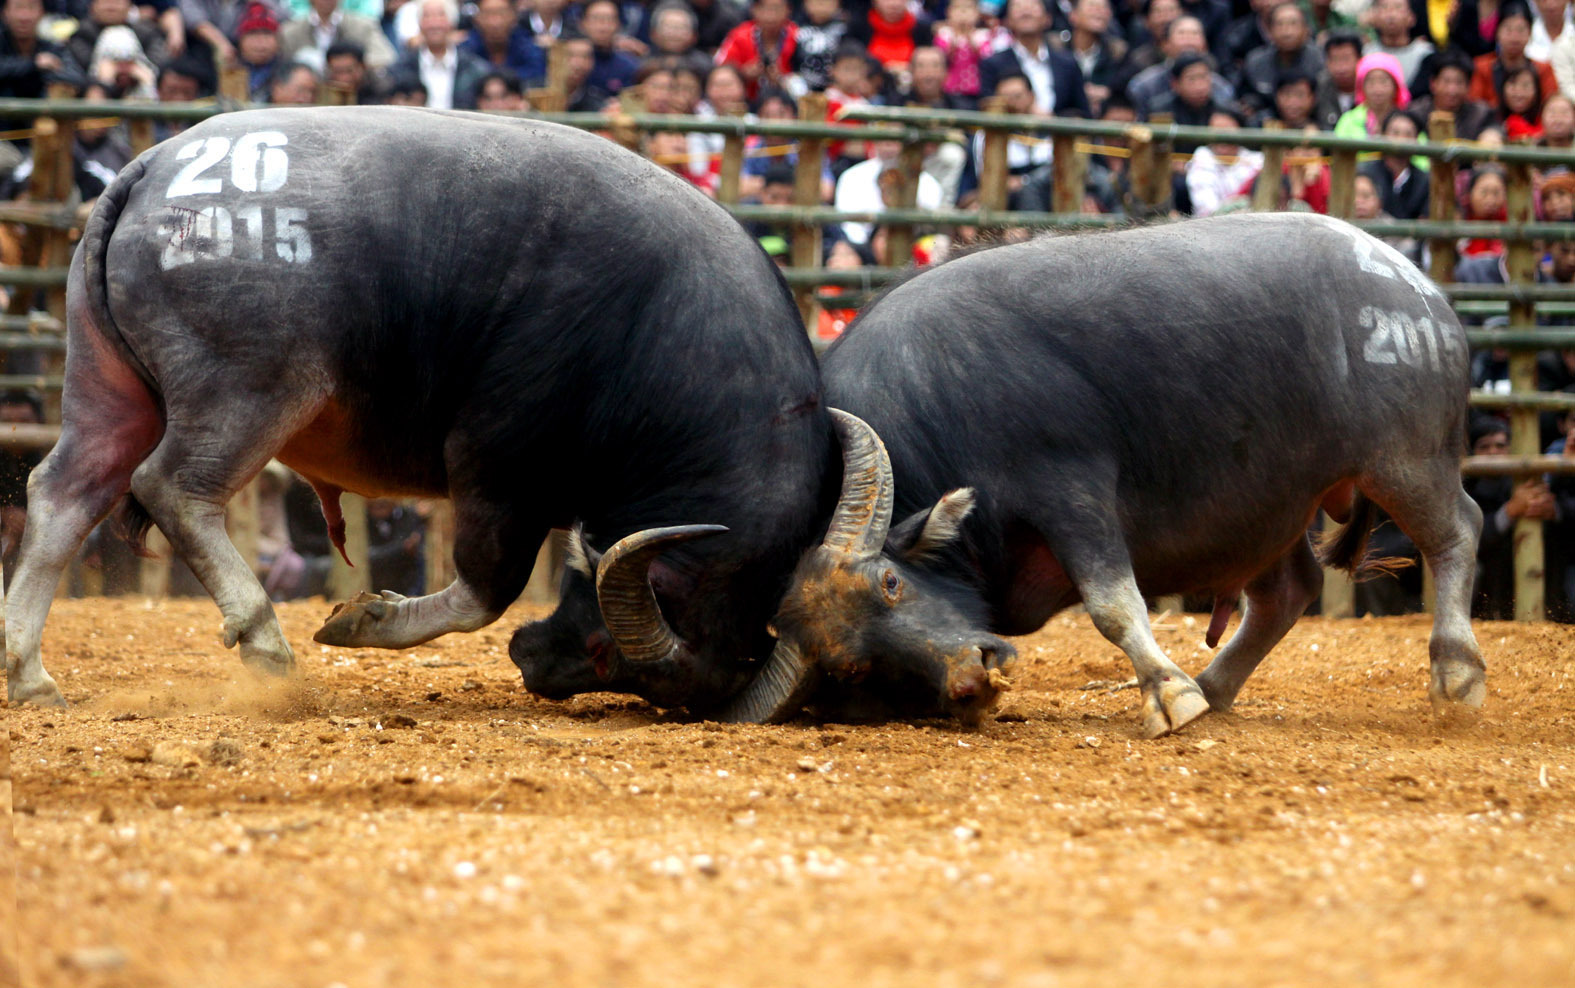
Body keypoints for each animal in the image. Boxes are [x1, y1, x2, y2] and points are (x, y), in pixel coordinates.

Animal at [6, 104, 1008, 718]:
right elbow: (483, 585)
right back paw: (267, 644)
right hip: (250, 388)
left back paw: (29, 671)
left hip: (109, 390)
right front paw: (362, 620)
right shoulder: (499, 464)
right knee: (175, 488)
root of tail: (153, 166)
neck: (656, 333)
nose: (538, 665)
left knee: (64, 492)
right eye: (609, 659)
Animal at [762, 215, 1486, 737]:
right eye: (853, 667)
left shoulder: (1068, 488)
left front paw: (1168, 695)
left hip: (1403, 457)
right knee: (1288, 591)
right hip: (1262, 502)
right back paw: (1216, 685)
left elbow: (1112, 604)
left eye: (891, 583)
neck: (937, 395)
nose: (970, 676)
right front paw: (1182, 689)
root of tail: (1409, 281)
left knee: (1456, 531)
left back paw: (1456, 673)